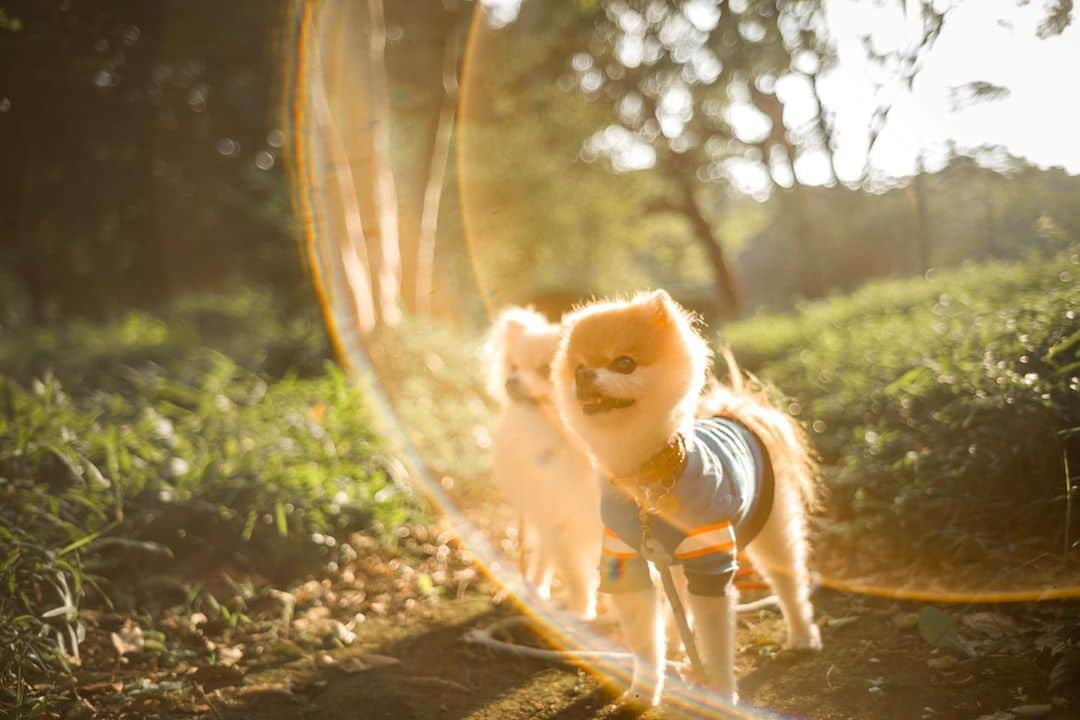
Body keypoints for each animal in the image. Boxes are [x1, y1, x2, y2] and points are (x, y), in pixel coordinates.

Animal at [488, 306, 604, 621]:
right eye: (514, 367)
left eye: (545, 369)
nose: (511, 381)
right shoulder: (562, 518)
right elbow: (576, 576)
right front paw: (582, 612)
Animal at [552, 289, 820, 708]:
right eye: (577, 366)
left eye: (624, 363)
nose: (583, 375)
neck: (647, 479)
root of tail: (734, 413)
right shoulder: (626, 561)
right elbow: (644, 642)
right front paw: (644, 690)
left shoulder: (709, 559)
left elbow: (714, 639)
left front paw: (721, 692)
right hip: (671, 555)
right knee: (676, 594)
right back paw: (677, 646)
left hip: (773, 528)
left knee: (788, 583)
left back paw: (803, 636)